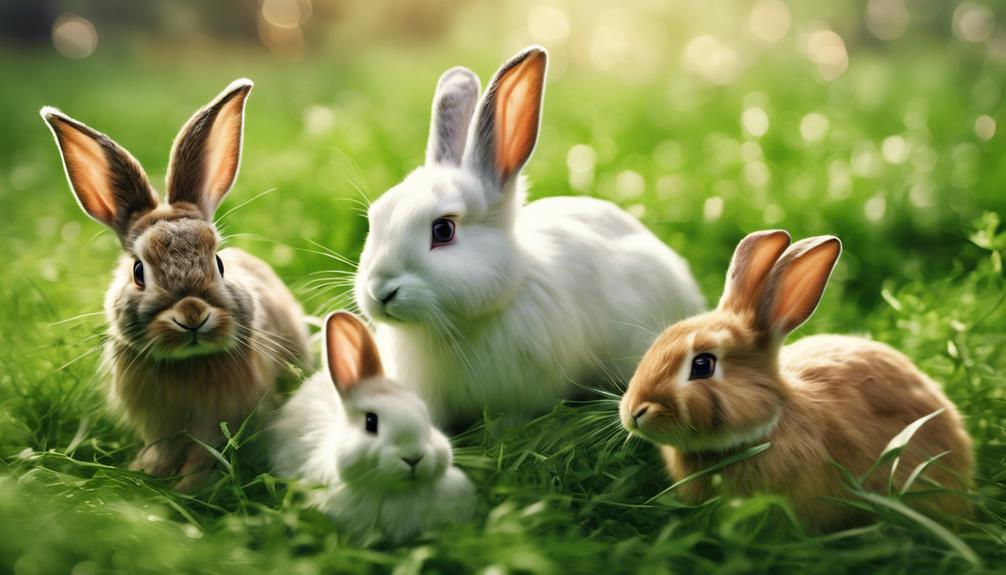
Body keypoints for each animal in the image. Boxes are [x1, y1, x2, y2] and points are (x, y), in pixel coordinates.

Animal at [40, 79, 310, 491]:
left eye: (219, 264)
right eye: (138, 271)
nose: (192, 313)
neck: (188, 364)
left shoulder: (217, 420)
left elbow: (204, 456)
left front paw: (189, 489)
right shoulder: (159, 424)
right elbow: (164, 451)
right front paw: (149, 474)